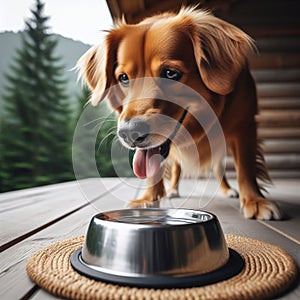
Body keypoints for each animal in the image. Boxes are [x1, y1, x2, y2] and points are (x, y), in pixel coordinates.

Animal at [77, 5, 282, 219]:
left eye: (170, 73)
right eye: (123, 78)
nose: (129, 133)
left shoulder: (245, 125)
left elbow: (245, 167)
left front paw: (255, 201)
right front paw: (148, 198)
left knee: (219, 169)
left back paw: (227, 190)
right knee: (176, 169)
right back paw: (173, 189)